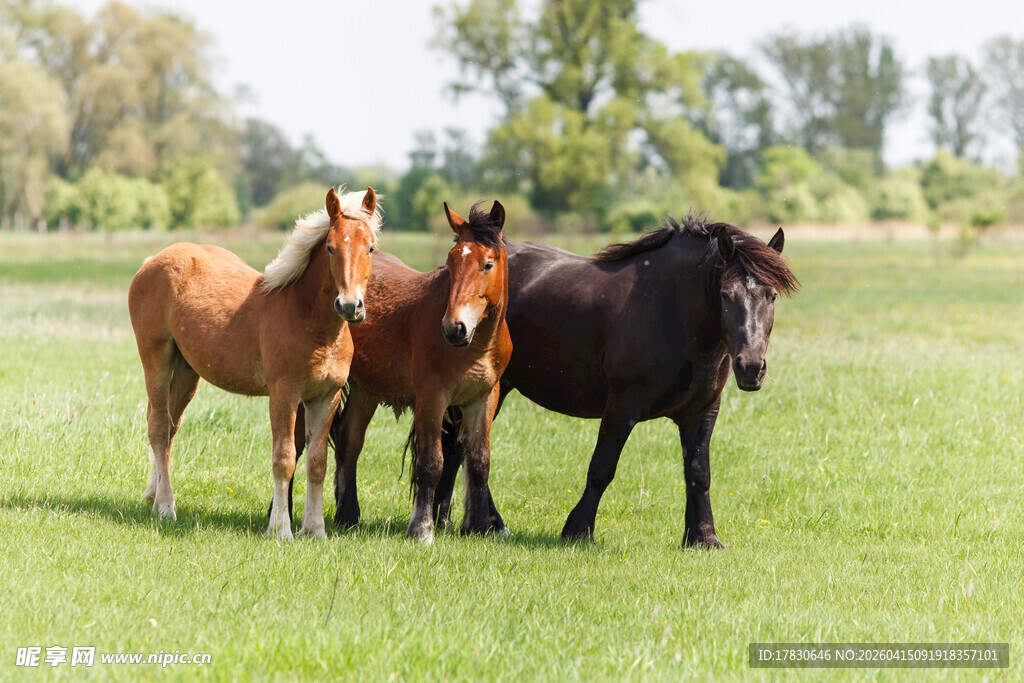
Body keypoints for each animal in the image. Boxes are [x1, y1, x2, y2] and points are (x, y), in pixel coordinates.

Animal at [127, 187, 380, 540]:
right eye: (330, 248)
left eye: (370, 247)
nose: (349, 306)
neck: (311, 321)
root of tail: (151, 261)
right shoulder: (284, 395)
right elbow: (284, 458)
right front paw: (282, 529)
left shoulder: (325, 398)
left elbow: (317, 462)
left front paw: (315, 530)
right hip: (157, 361)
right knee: (159, 428)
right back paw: (166, 507)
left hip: (187, 372)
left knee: (168, 426)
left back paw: (153, 497)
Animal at [323, 200, 512, 544]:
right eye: (451, 261)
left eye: (488, 264)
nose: (454, 328)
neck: (477, 345)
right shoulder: (432, 399)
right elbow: (430, 463)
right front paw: (422, 529)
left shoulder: (484, 399)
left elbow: (480, 461)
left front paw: (479, 526)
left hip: (365, 392)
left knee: (348, 443)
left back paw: (347, 515)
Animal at [424, 214, 799, 548]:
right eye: (725, 295)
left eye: (772, 296)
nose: (751, 367)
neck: (669, 311)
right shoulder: (622, 406)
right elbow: (602, 467)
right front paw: (578, 531)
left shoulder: (703, 412)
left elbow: (698, 473)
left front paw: (704, 537)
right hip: (492, 389)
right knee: (466, 445)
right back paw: (479, 523)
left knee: (461, 445)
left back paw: (450, 519)